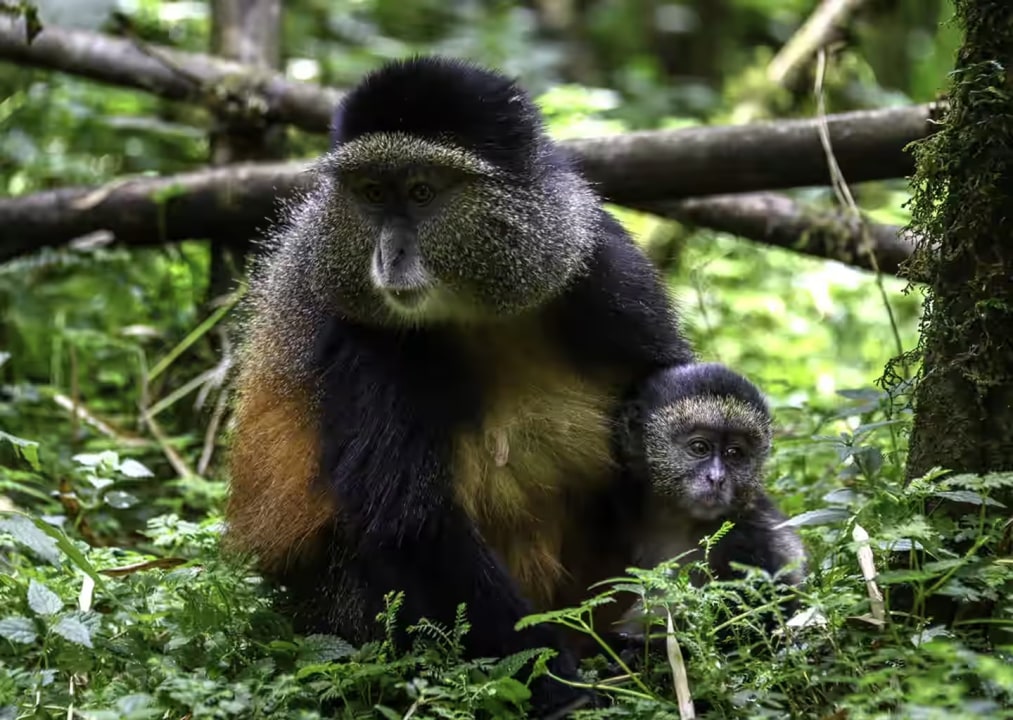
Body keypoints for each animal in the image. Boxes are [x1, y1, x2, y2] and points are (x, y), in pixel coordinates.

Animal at [224, 56, 695, 718]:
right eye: (372, 194)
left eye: (422, 192)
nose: (389, 256)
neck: (478, 310)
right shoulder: (362, 340)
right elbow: (409, 522)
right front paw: (564, 690)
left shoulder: (602, 266)